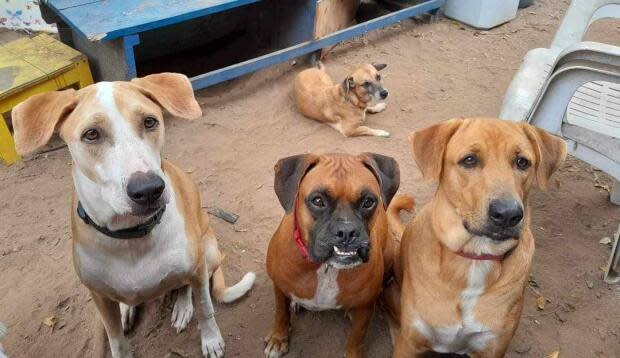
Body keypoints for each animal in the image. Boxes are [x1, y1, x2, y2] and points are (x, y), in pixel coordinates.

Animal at [13, 73, 256, 358]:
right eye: (91, 134)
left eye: (149, 122)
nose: (149, 190)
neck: (131, 237)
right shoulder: (98, 296)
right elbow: (116, 340)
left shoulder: (197, 269)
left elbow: (205, 308)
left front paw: (211, 340)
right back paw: (127, 309)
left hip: (206, 252)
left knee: (187, 286)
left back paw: (183, 307)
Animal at [264, 153, 414, 358]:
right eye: (318, 201)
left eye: (368, 202)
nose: (347, 231)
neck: (326, 268)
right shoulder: (278, 286)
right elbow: (280, 312)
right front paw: (278, 338)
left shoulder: (365, 308)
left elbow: (357, 336)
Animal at [388, 118, 568, 358]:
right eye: (469, 160)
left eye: (522, 162)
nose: (508, 214)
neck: (474, 256)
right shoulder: (410, 342)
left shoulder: (493, 347)